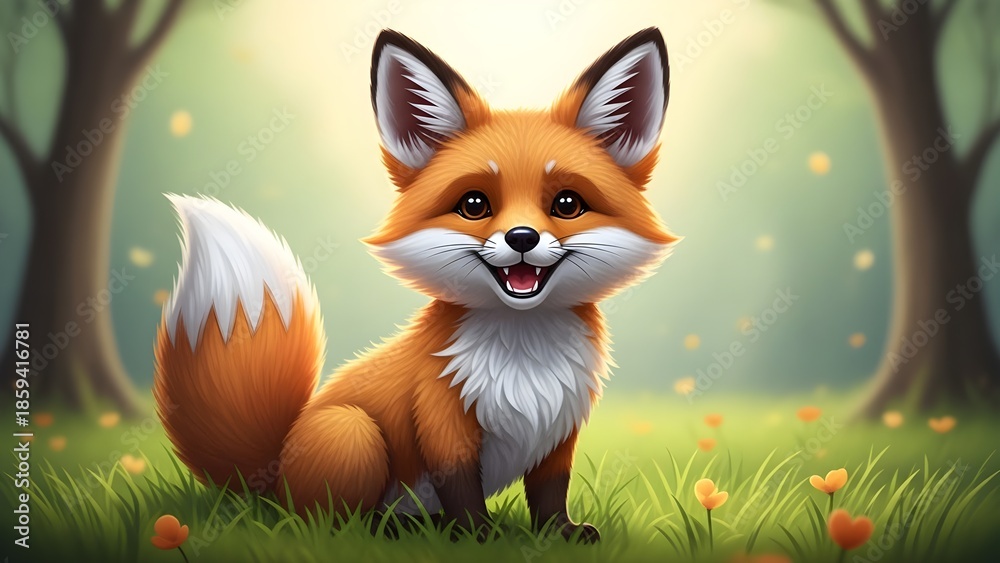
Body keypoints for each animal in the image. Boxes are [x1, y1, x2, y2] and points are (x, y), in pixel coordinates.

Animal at [154, 28, 678, 542]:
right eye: (474, 204)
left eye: (567, 204)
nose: (522, 238)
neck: (523, 357)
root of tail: (272, 473)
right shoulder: (442, 416)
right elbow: (462, 487)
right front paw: (477, 537)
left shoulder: (559, 426)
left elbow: (550, 490)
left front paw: (557, 534)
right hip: (354, 432)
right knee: (326, 522)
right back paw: (394, 527)